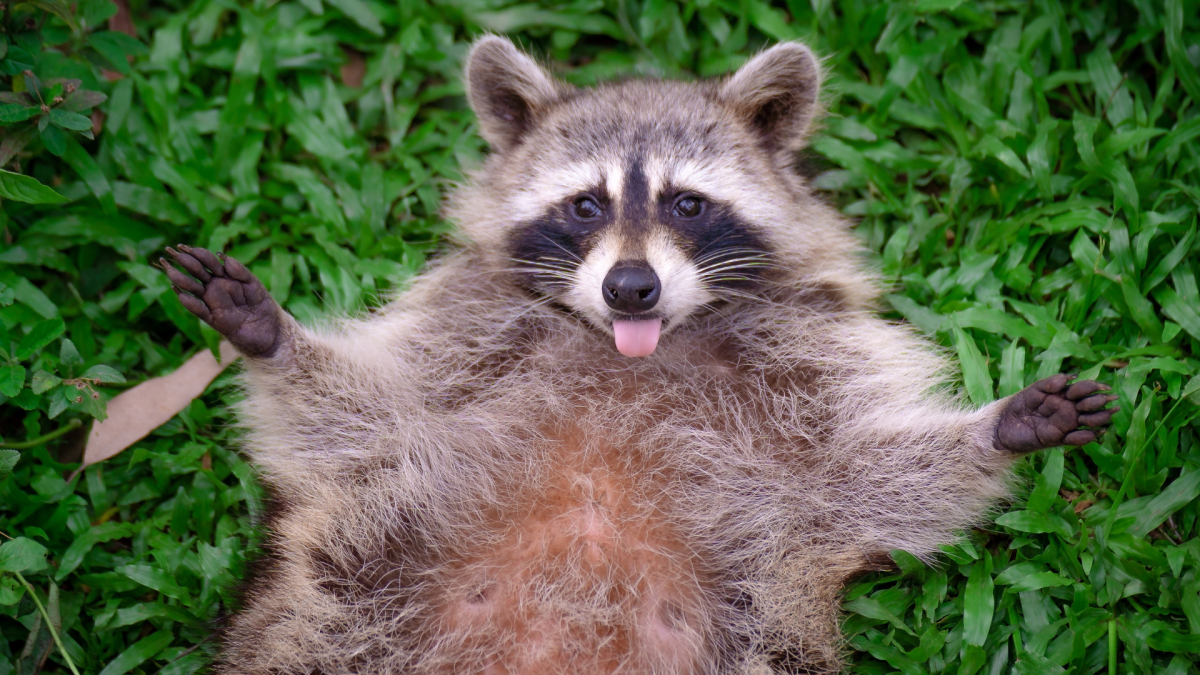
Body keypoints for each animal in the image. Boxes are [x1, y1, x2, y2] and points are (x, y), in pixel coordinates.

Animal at [160, 37, 1116, 675]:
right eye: (585, 204)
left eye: (687, 204)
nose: (630, 288)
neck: (630, 355)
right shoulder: (463, 337)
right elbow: (354, 415)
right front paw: (270, 335)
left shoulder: (806, 380)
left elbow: (874, 476)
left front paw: (1001, 428)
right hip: (344, 604)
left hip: (758, 634)